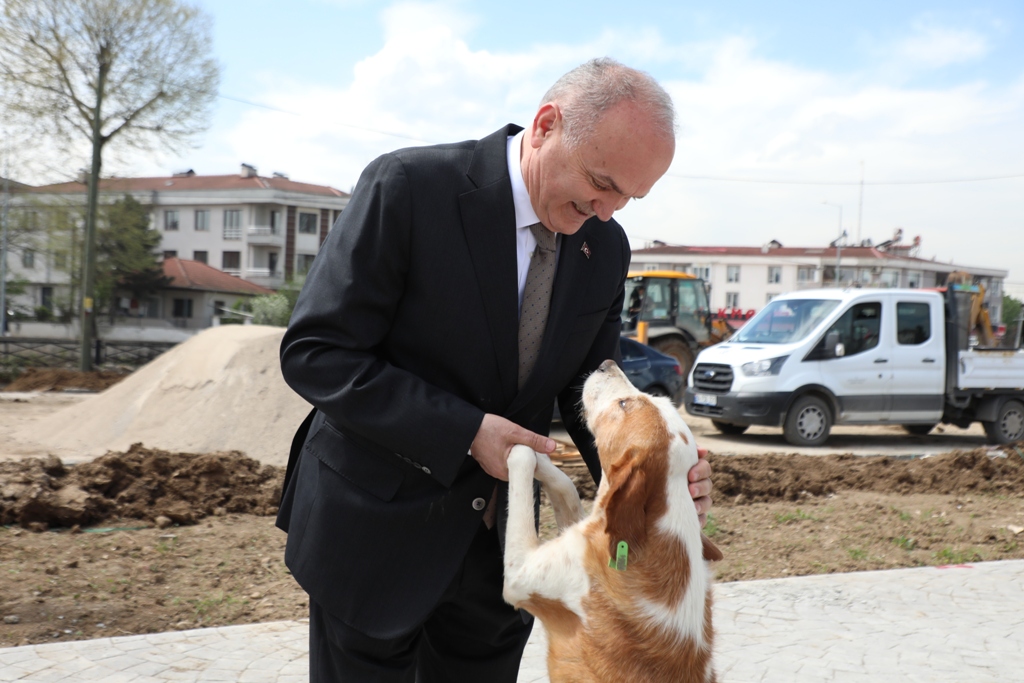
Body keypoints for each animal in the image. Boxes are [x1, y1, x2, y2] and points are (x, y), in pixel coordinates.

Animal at [503, 360, 720, 679]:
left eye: (623, 404)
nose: (607, 363)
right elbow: (566, 486)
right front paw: (546, 453)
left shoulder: (519, 574)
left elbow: (521, 461)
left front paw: (516, 441)